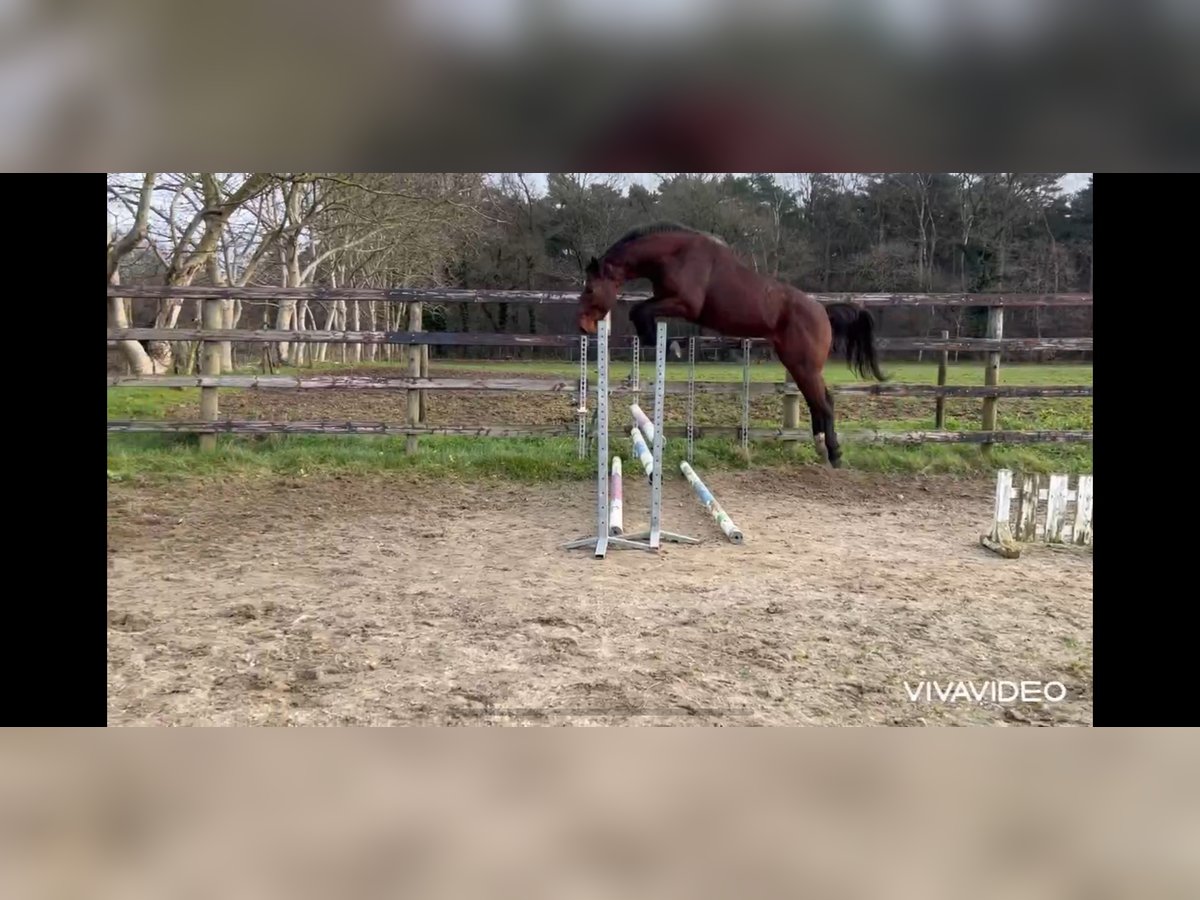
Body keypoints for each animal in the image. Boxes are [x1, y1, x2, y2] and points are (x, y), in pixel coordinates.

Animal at [576, 222, 888, 468]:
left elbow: (638, 311)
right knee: (821, 402)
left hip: (804, 366)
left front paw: (669, 346)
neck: (675, 254)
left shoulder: (685, 304)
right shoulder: (669, 302)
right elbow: (640, 312)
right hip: (800, 365)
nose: (583, 326)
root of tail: (822, 311)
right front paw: (664, 344)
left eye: (590, 289)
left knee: (824, 403)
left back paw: (833, 453)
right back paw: (823, 448)